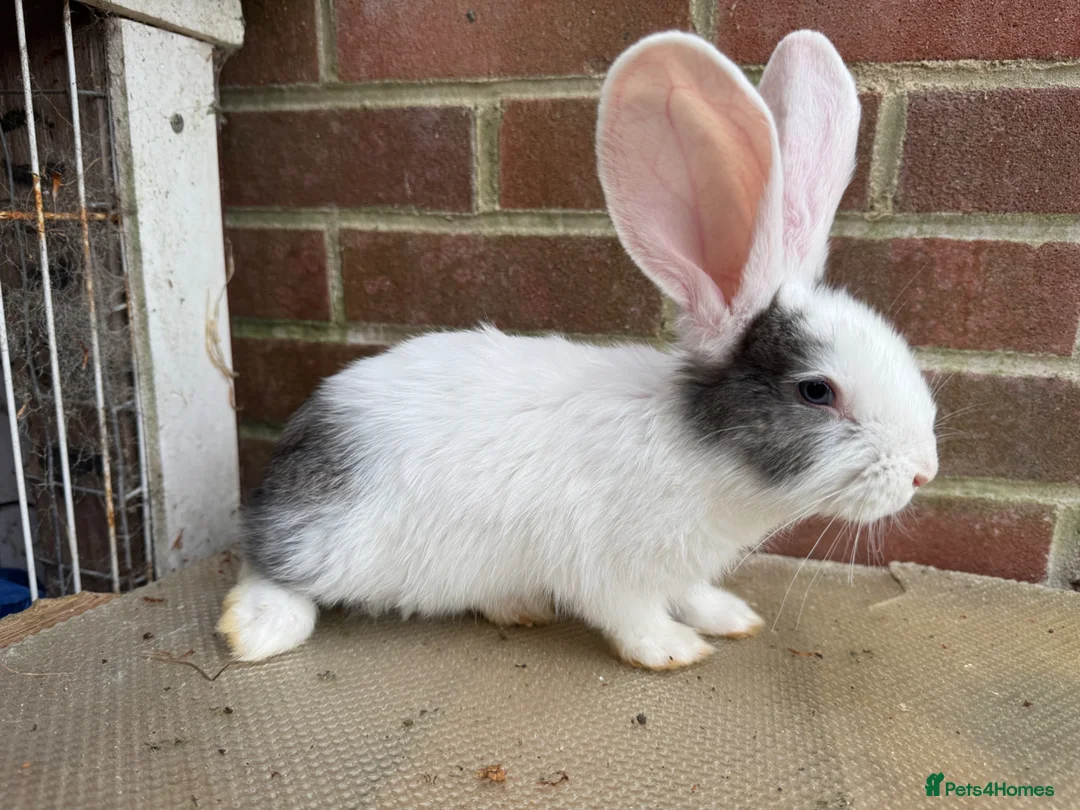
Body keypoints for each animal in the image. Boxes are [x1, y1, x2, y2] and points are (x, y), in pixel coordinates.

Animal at [218, 30, 938, 670]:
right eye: (817, 391)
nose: (922, 473)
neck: (706, 456)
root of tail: (299, 445)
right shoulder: (610, 566)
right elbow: (632, 614)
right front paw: (674, 651)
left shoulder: (681, 565)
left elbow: (692, 592)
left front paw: (731, 618)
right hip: (330, 539)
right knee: (269, 566)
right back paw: (256, 630)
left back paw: (516, 606)